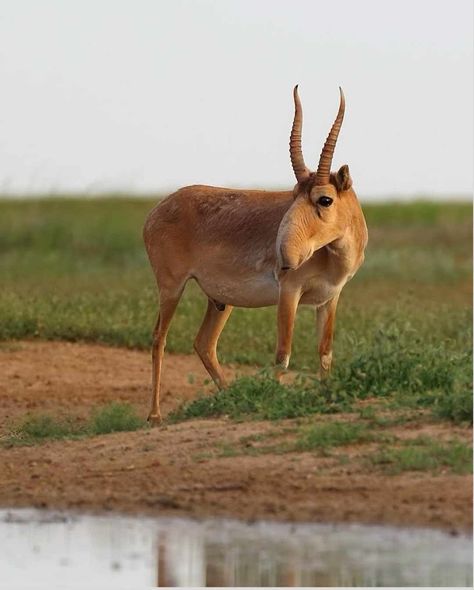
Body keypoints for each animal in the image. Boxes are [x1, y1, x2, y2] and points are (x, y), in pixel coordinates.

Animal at [143, 85, 366, 424]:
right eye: (294, 194)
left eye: (325, 199)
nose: (285, 258)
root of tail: (157, 211)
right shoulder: (289, 293)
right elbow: (282, 355)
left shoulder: (329, 299)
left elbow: (325, 353)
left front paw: (327, 400)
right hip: (171, 288)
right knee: (159, 338)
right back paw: (155, 416)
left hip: (220, 302)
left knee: (204, 344)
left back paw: (231, 399)